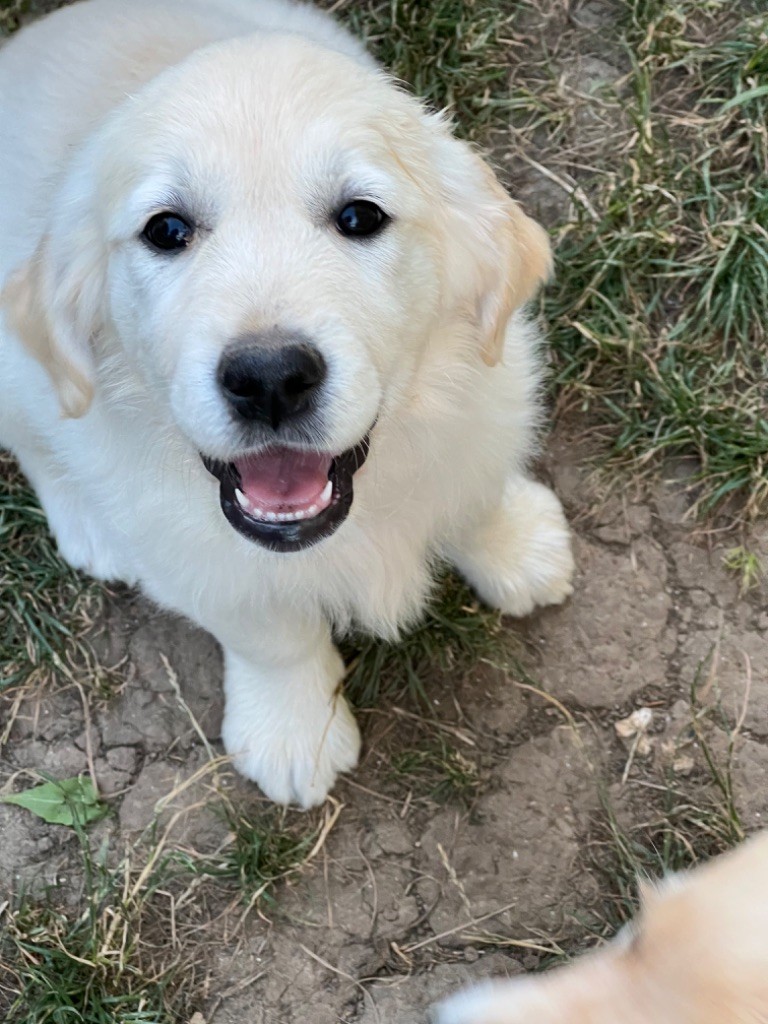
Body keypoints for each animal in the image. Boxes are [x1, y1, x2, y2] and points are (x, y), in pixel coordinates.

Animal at [0, 0, 573, 806]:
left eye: (360, 217)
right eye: (166, 230)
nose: (269, 378)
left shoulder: (487, 397)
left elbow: (474, 488)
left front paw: (516, 546)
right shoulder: (199, 558)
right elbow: (271, 634)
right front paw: (292, 727)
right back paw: (87, 524)